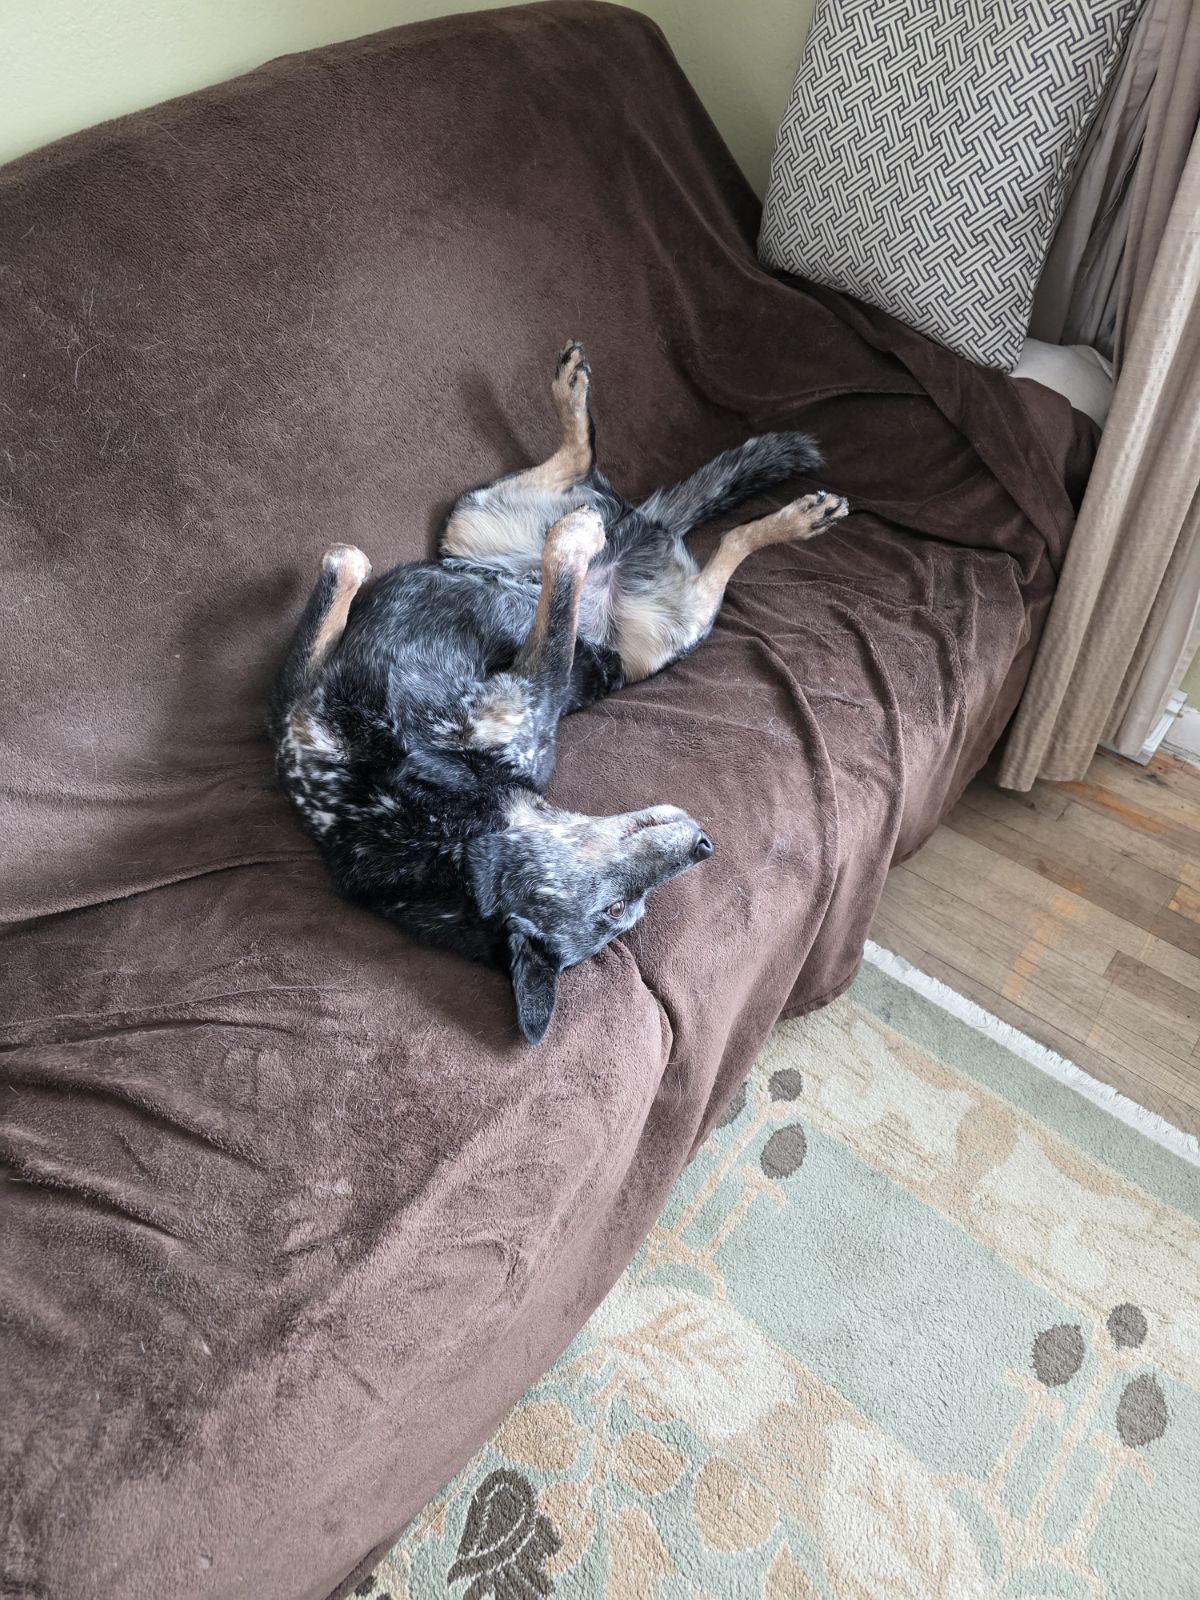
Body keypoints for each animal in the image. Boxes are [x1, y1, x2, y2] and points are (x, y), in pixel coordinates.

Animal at [270, 342, 847, 1041]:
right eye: (619, 910)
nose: (705, 846)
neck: (411, 816)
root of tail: (639, 537)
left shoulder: (322, 703)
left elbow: (344, 584)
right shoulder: (310, 714)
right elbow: (343, 596)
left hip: (517, 545)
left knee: (639, 514)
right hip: (546, 563)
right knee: (698, 541)